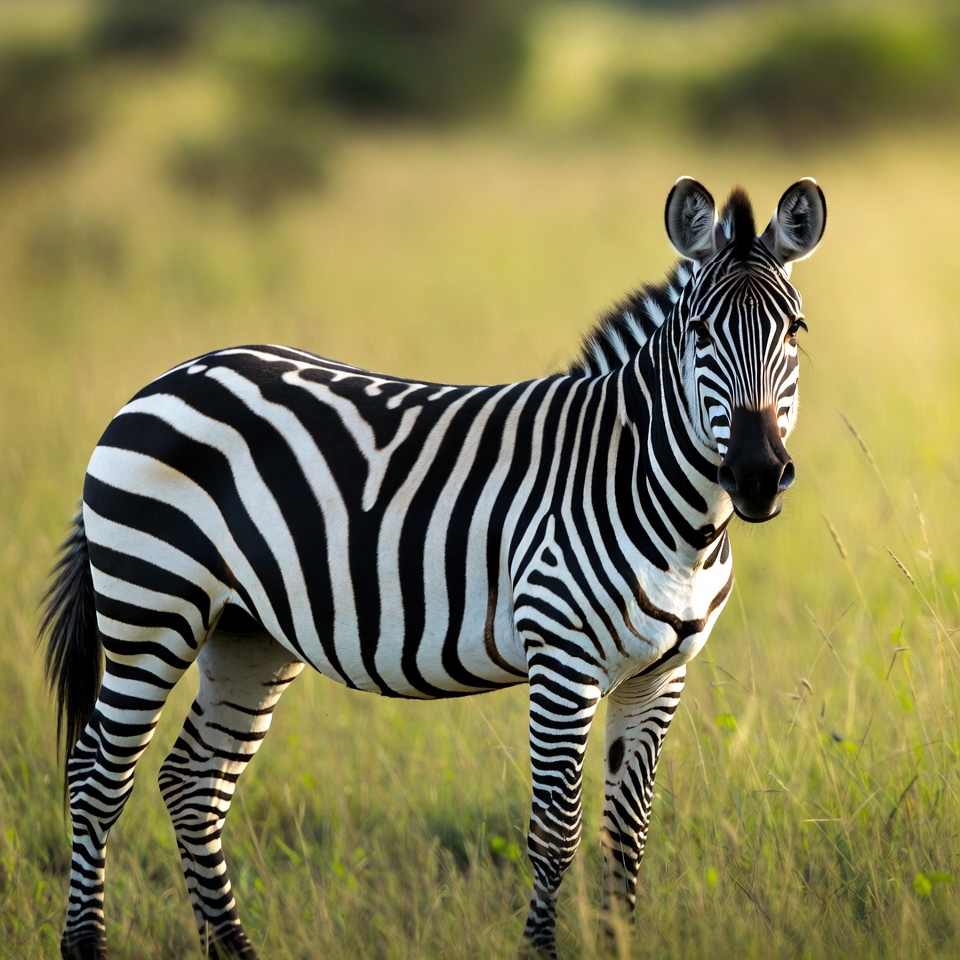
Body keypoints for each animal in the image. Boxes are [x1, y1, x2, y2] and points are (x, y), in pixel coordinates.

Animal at [42, 176, 826, 960]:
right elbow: (555, 835)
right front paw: (539, 950)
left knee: (193, 784)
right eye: (698, 334)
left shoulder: (661, 675)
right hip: (152, 608)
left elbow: (626, 835)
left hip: (245, 634)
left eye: (794, 332)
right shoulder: (562, 661)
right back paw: (86, 943)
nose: (758, 475)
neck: (657, 499)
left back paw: (233, 949)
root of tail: (164, 381)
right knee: (95, 779)